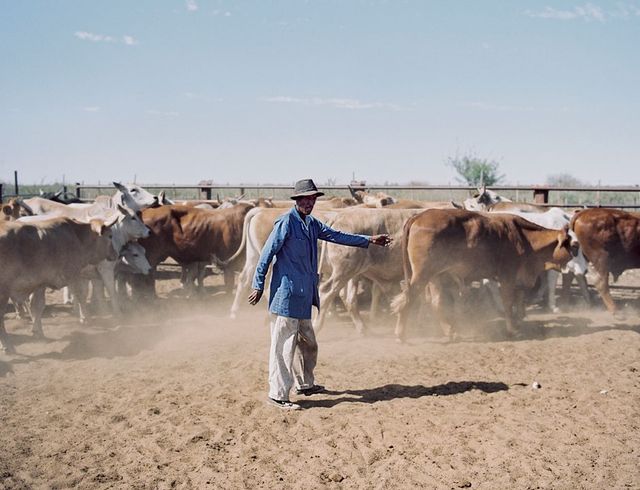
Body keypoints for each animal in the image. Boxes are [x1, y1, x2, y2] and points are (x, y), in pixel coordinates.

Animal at [0, 217, 117, 353]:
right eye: (110, 236)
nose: (115, 254)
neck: (77, 236)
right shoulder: (73, 274)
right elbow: (81, 295)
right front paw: (86, 318)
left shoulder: (40, 283)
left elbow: (37, 306)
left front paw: (38, 332)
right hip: (3, 292)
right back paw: (7, 346)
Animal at [392, 209, 574, 342]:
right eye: (570, 244)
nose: (573, 256)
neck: (524, 238)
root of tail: (419, 216)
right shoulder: (507, 276)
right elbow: (508, 303)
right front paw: (512, 329)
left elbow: (518, 300)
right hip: (422, 274)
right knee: (408, 299)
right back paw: (401, 335)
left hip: (435, 276)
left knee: (436, 303)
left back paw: (451, 332)